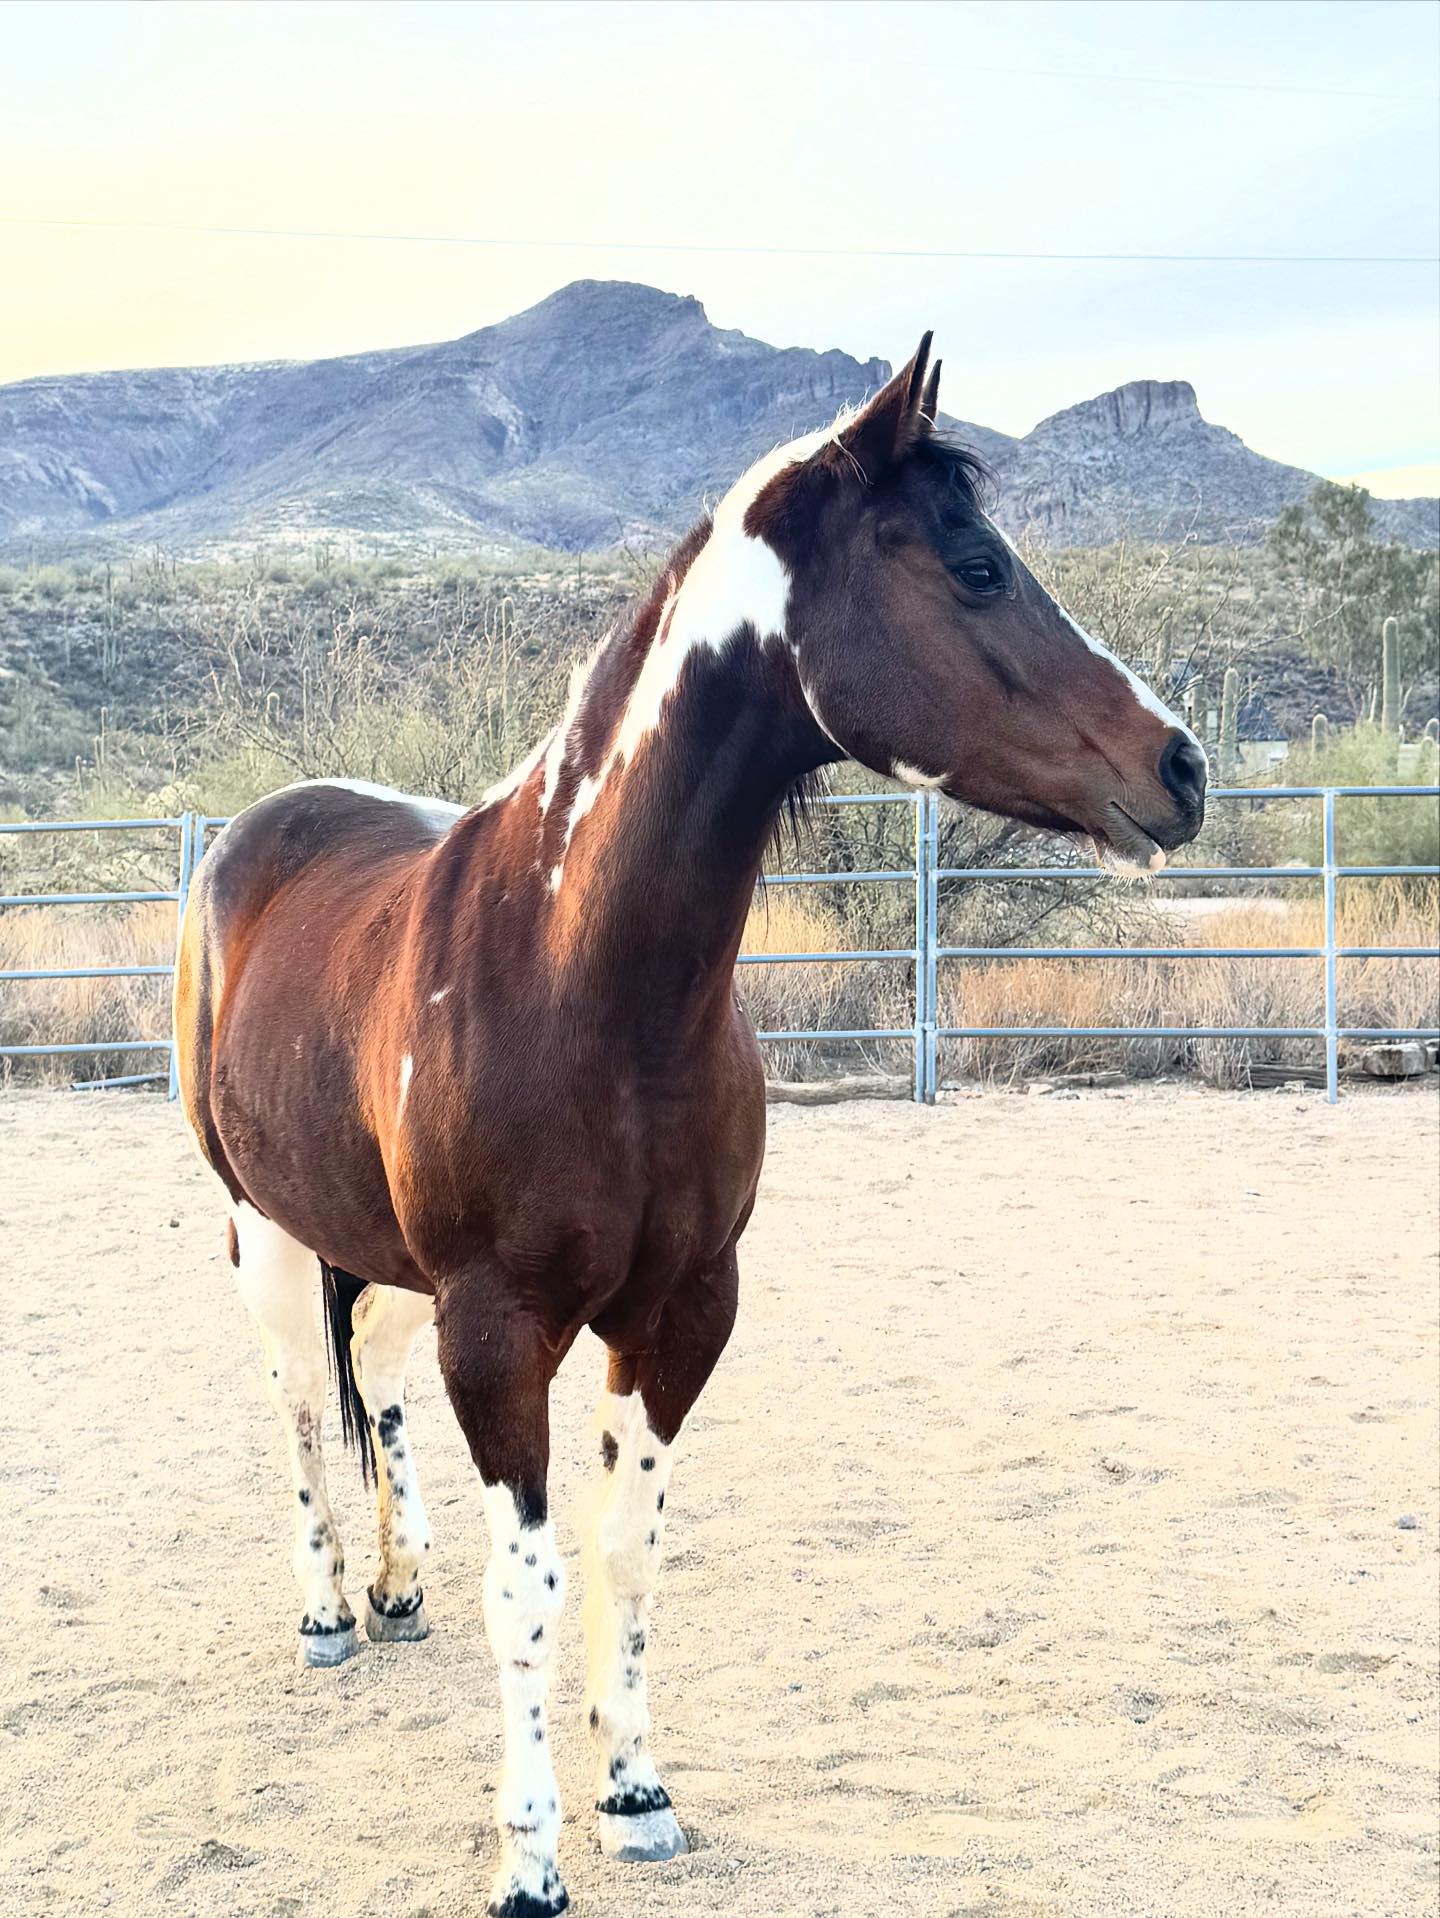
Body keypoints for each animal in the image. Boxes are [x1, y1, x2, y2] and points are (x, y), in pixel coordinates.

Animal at [173, 335, 1207, 1918]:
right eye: (973, 566)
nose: (1181, 767)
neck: (585, 976)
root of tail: (253, 840)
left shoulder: (681, 1309)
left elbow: (628, 1552)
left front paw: (638, 1791)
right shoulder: (501, 1327)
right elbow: (530, 1585)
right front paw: (529, 1855)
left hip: (380, 1254)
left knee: (374, 1382)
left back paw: (397, 1589)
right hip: (265, 1230)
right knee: (298, 1401)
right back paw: (331, 1613)